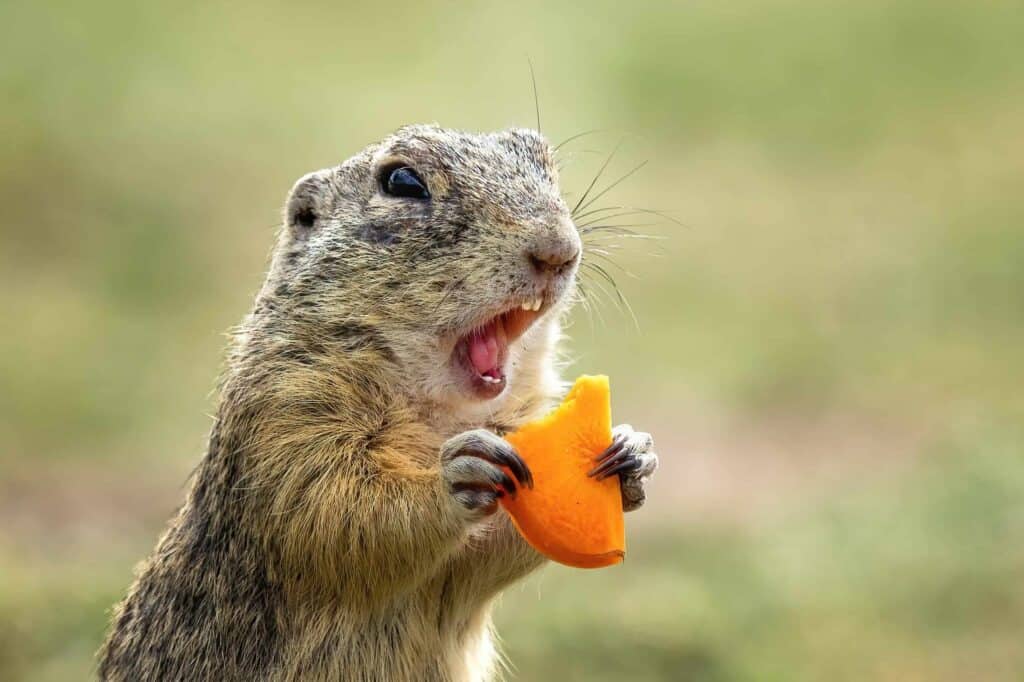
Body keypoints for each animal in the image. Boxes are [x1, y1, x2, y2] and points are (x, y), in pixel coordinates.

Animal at [99, 124, 659, 675]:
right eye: (402, 181)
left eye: (544, 162)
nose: (559, 249)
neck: (443, 411)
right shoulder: (284, 411)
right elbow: (328, 508)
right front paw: (457, 475)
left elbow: (493, 551)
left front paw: (633, 452)